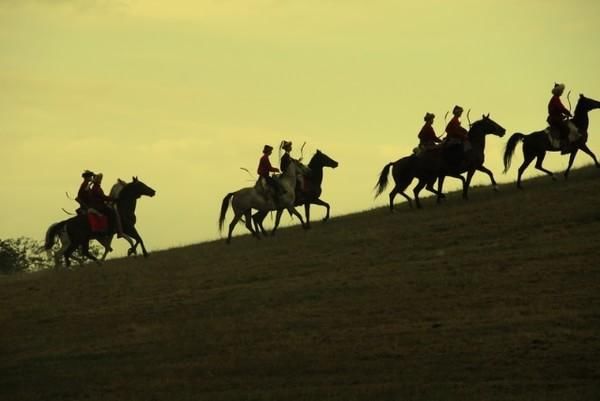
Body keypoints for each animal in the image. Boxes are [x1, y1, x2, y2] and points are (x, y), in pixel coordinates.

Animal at [376, 113, 506, 209]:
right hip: (409, 180)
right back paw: (396, 209)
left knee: (412, 190)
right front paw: (464, 196)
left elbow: (489, 172)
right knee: (396, 193)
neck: (473, 145)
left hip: (418, 179)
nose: (503, 130)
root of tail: (395, 163)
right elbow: (467, 180)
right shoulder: (471, 168)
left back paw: (416, 205)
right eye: (490, 122)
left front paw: (496, 188)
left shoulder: (475, 167)